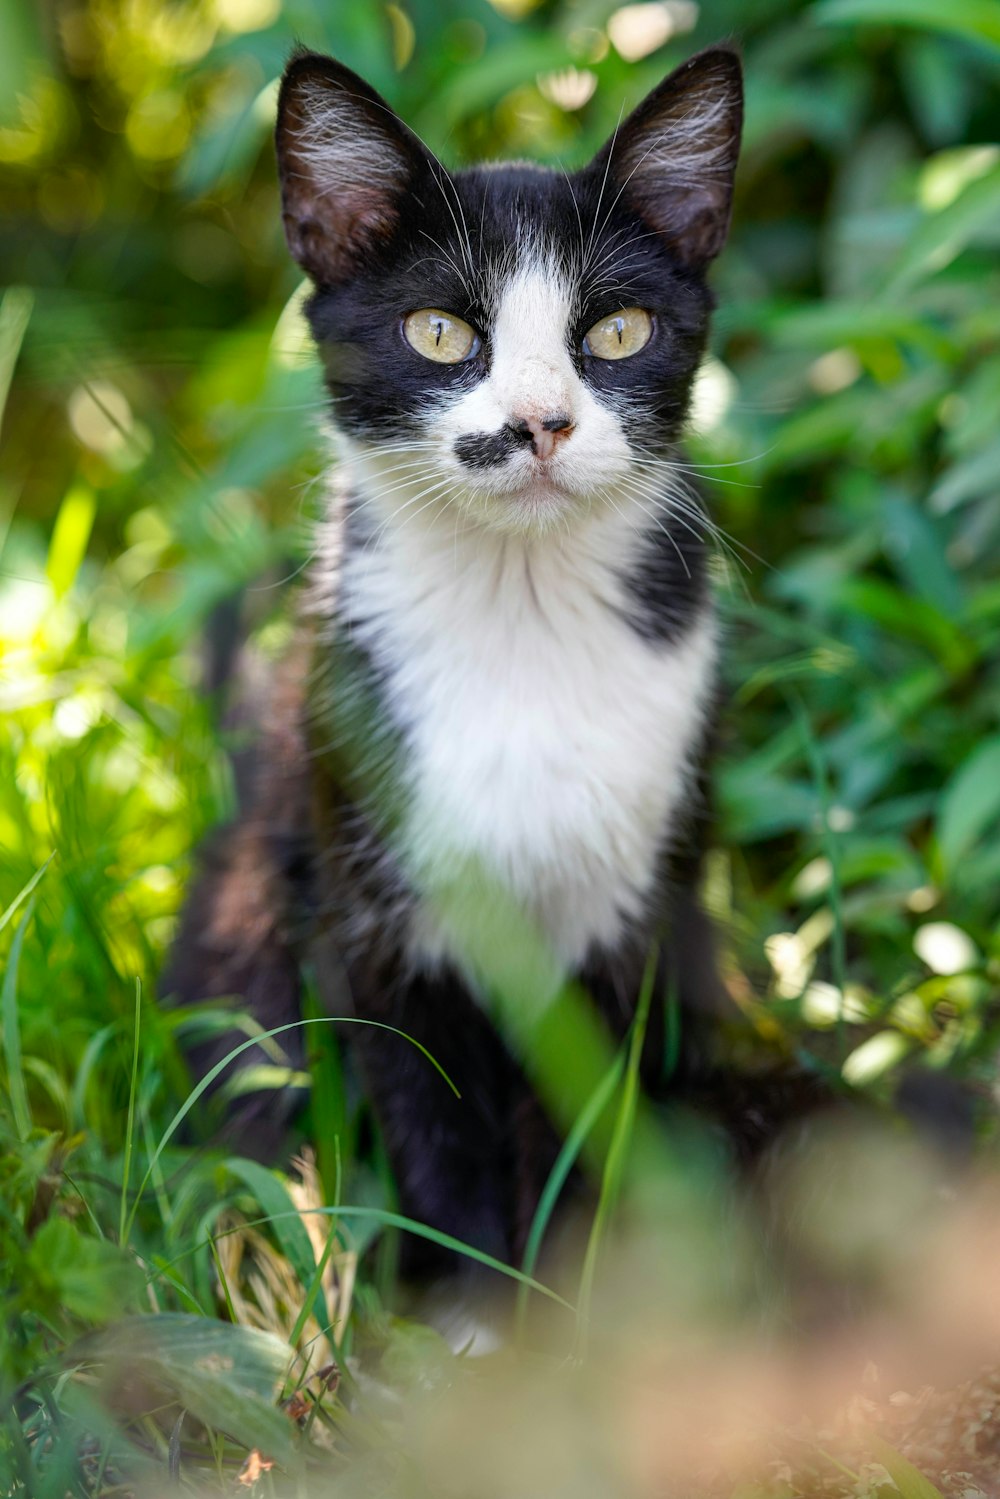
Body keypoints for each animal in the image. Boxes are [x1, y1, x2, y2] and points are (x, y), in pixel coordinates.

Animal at [166, 43, 815, 1289]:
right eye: (436, 332)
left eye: (616, 333)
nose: (539, 422)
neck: (520, 621)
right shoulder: (377, 905)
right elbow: (428, 1101)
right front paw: (468, 1296)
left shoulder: (634, 904)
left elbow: (580, 1108)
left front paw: (568, 1284)